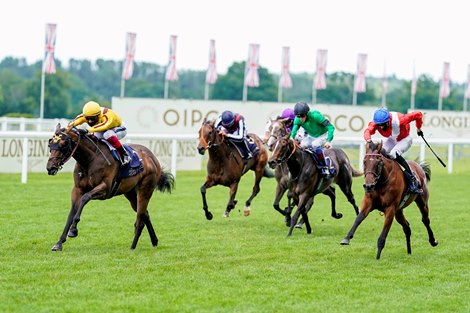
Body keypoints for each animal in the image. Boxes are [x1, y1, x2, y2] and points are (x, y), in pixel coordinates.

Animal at [45, 123, 174, 250]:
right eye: (50, 143)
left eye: (64, 144)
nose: (50, 167)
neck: (90, 159)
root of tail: (152, 157)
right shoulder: (77, 189)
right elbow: (71, 213)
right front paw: (59, 242)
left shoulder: (105, 189)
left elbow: (85, 198)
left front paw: (73, 230)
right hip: (130, 193)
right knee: (145, 214)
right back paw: (154, 241)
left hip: (145, 189)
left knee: (140, 219)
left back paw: (132, 247)